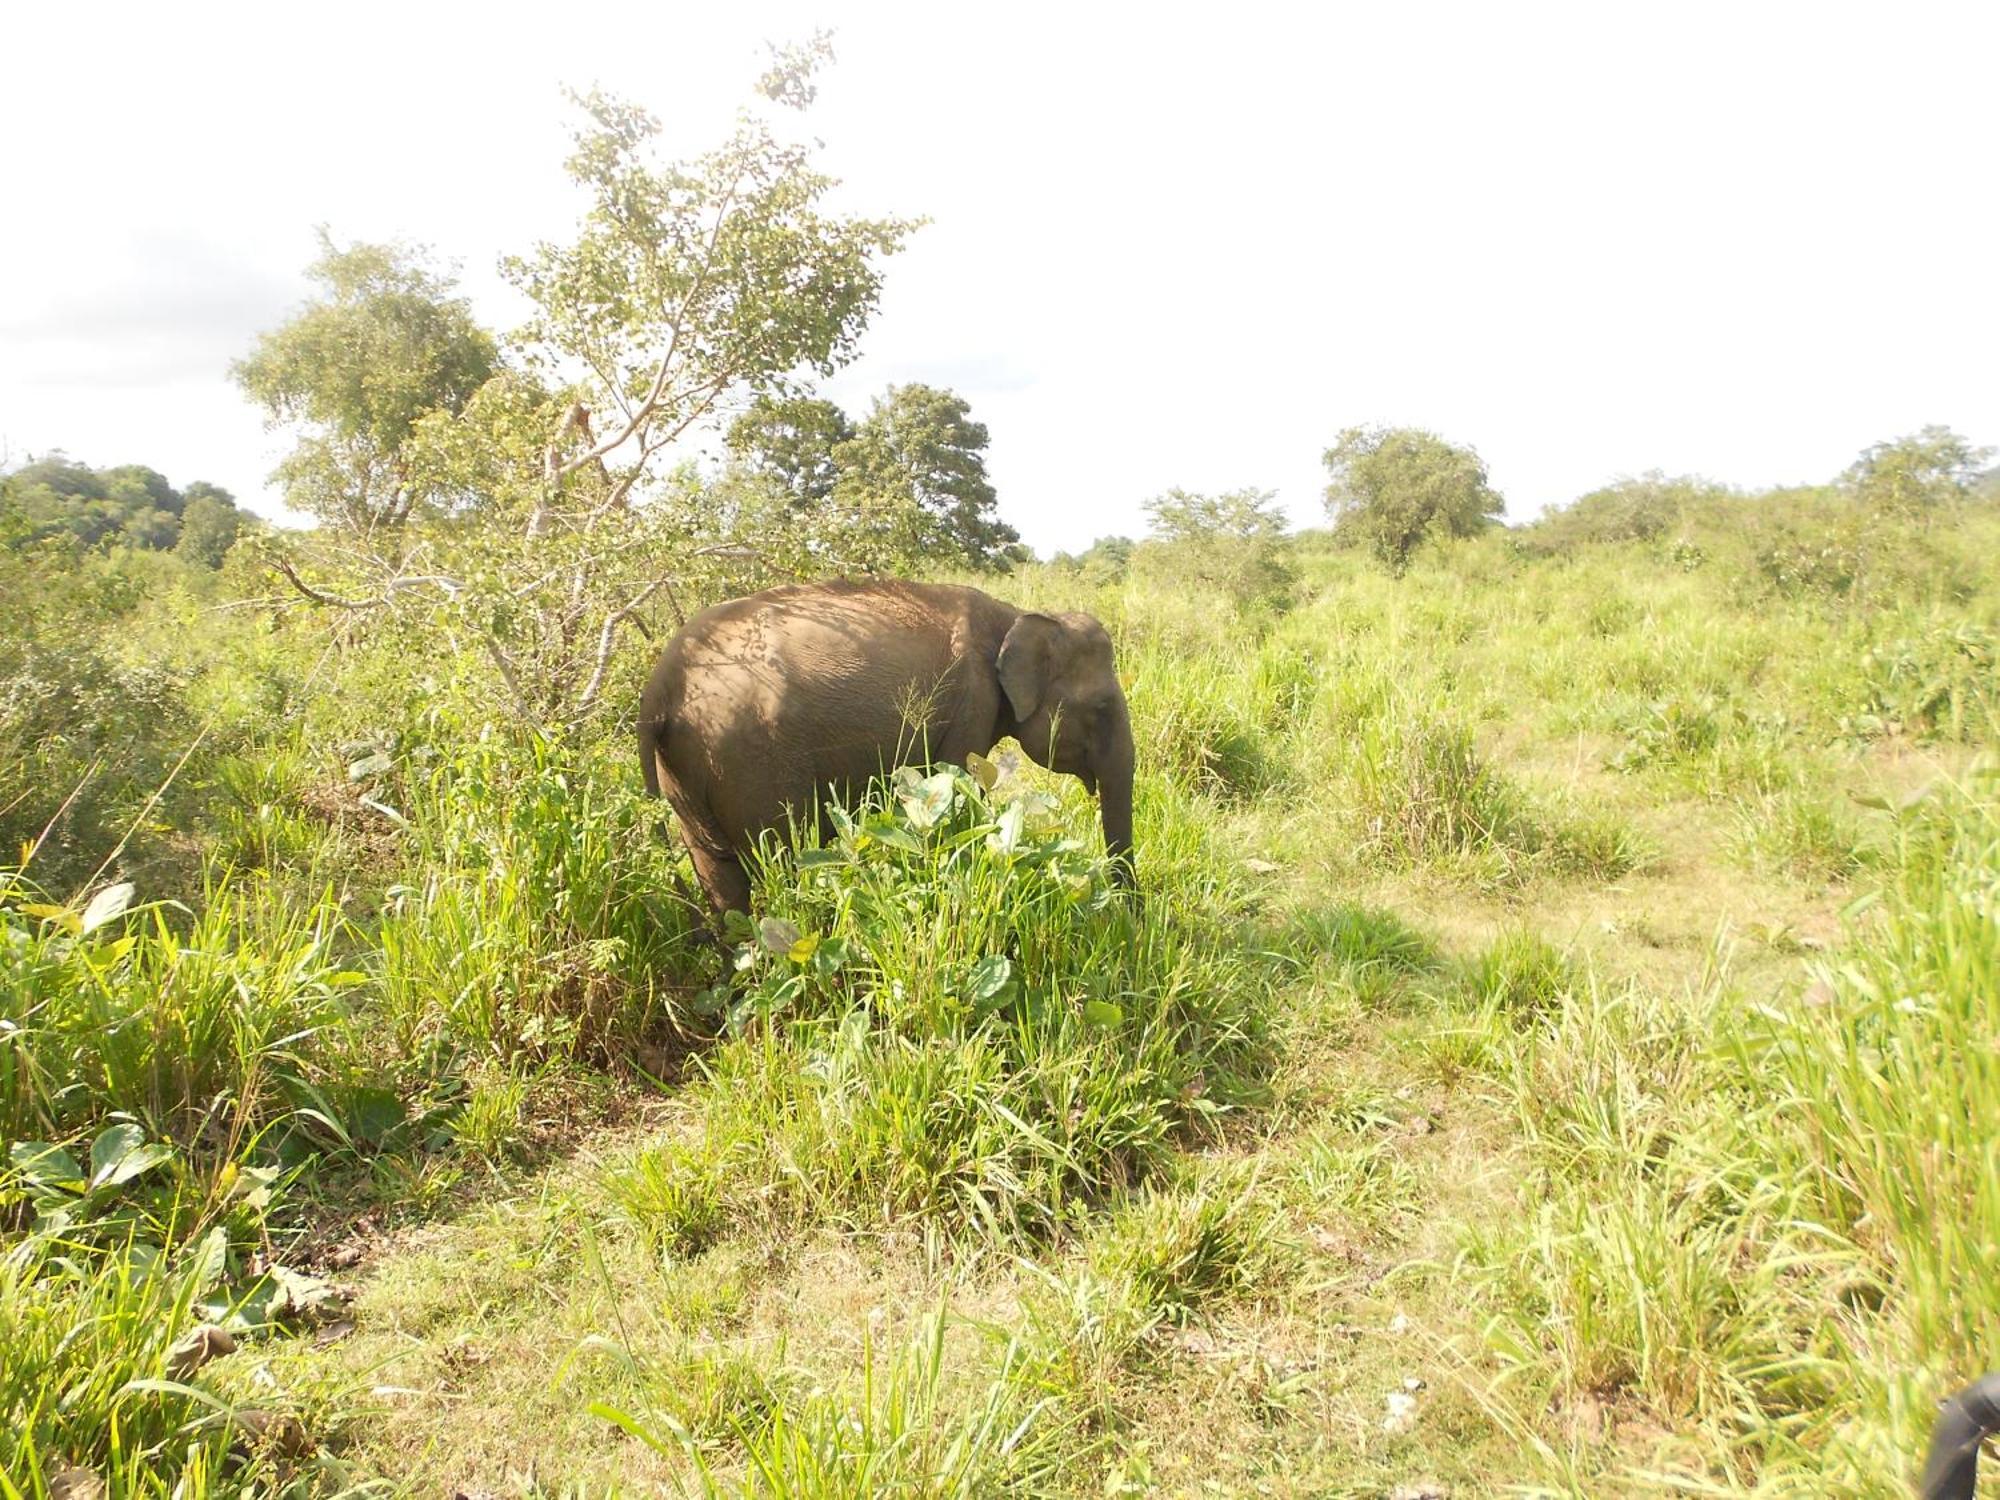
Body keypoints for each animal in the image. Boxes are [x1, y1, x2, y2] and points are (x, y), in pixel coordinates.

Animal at [640, 580, 1144, 916]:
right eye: (1101, 708)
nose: (1131, 914)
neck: (1017, 614)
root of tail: (660, 684)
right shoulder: (972, 701)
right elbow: (958, 795)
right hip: (749, 761)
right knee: (781, 859)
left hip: (688, 770)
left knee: (719, 875)